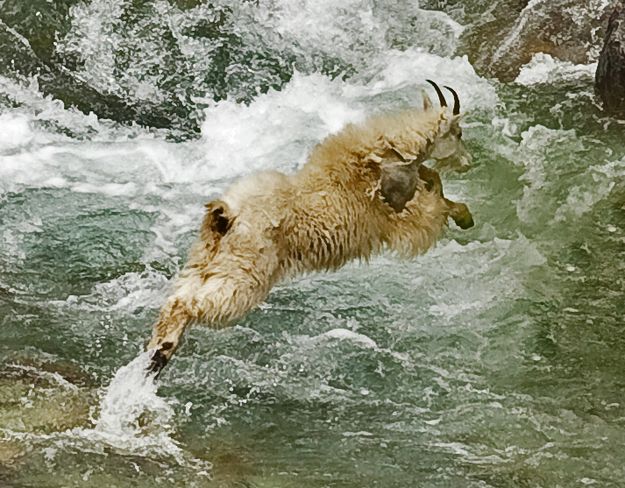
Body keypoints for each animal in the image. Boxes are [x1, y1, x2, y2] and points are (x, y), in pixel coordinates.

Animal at [147, 80, 472, 374]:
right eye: (458, 132)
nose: (467, 162)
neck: (389, 152)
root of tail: (225, 215)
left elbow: (433, 183)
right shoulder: (398, 214)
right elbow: (435, 203)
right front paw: (465, 216)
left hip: (205, 258)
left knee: (176, 298)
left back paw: (158, 354)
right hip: (244, 271)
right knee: (192, 303)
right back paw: (161, 355)